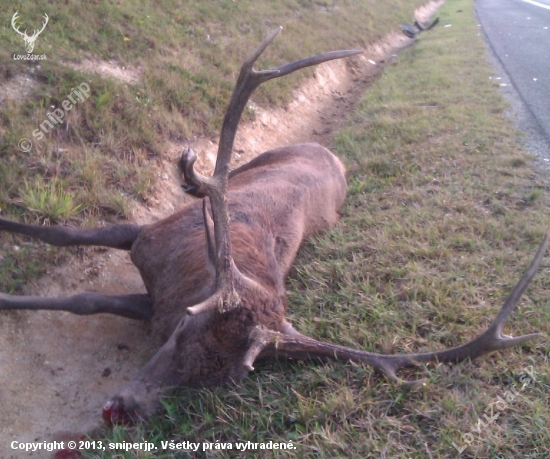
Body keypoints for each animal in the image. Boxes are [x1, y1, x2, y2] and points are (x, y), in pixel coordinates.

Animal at [0, 27, 548, 424]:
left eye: (226, 378)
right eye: (182, 330)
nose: (126, 409)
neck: (186, 280)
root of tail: (332, 153)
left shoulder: (153, 294)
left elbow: (86, 299)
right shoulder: (150, 234)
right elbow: (70, 246)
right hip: (255, 158)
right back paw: (194, 179)